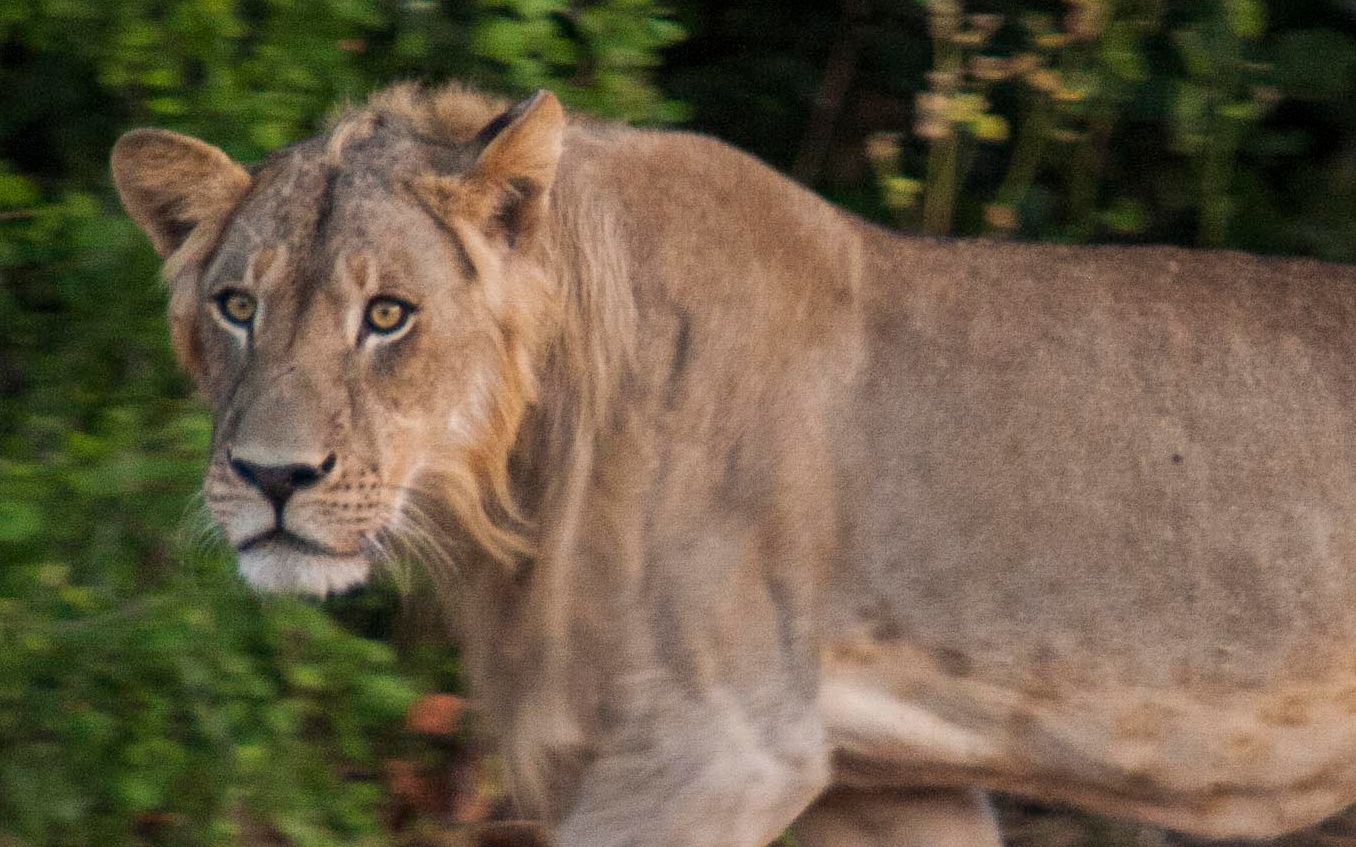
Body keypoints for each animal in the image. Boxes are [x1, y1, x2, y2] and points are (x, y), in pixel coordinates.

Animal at [108, 80, 1356, 845]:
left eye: (387, 315)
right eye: (237, 306)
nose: (271, 478)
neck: (518, 481)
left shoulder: (718, 748)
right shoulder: (882, 782)